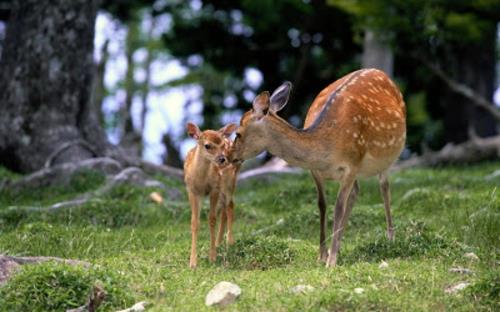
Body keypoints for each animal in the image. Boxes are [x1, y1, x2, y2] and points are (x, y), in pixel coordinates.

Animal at [184, 122, 240, 268]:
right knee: (224, 209)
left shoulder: (214, 188)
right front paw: (193, 262)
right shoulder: (191, 190)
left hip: (229, 182)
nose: (222, 159)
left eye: (222, 145)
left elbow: (212, 219)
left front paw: (212, 257)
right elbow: (194, 222)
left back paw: (230, 241)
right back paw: (219, 242)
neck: (201, 180)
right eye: (207, 145)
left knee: (230, 205)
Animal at [230, 67, 406, 266]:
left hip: (387, 157)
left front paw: (332, 262)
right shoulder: (315, 171)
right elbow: (322, 205)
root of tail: (380, 71)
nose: (229, 156)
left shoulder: (352, 164)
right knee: (356, 192)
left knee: (384, 188)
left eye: (238, 133)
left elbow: (338, 207)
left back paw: (390, 239)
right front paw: (323, 255)